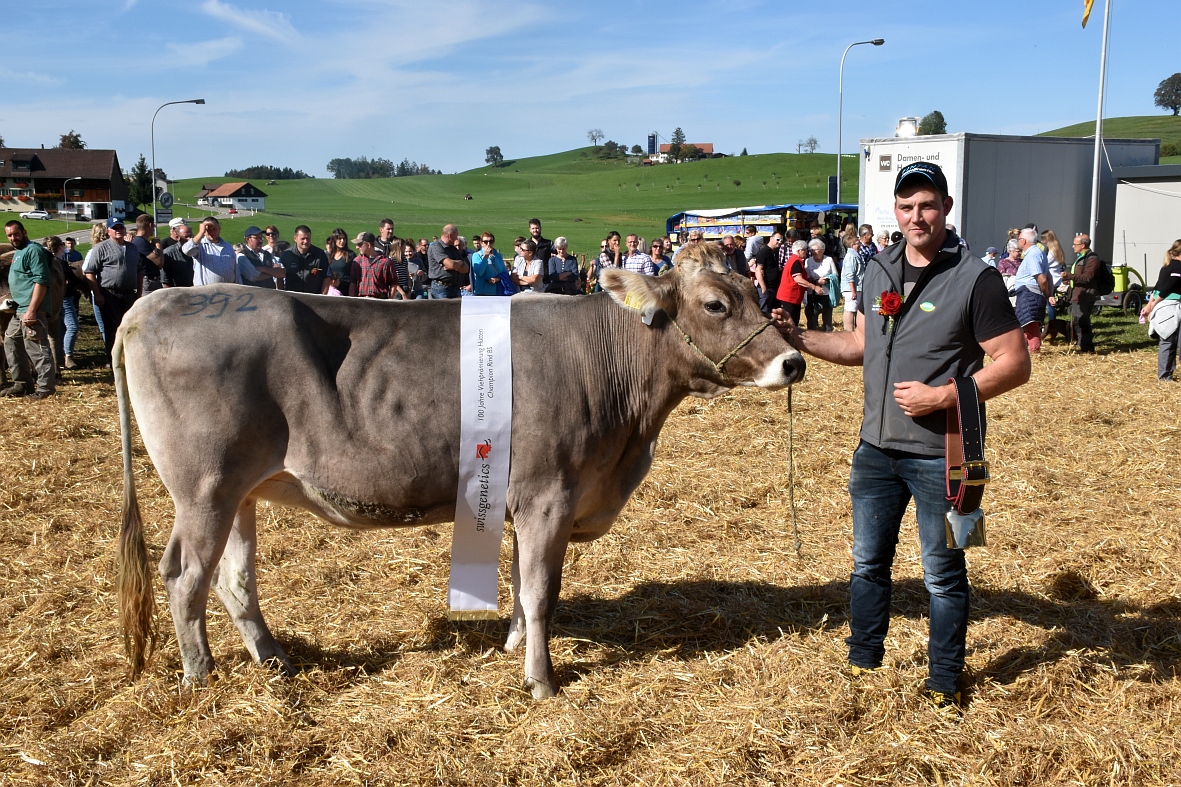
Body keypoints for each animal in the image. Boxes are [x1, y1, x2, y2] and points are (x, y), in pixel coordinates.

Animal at [117, 242, 803, 694]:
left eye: (756, 291)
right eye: (715, 305)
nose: (793, 361)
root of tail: (152, 303)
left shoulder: (522, 497)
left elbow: (523, 587)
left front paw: (513, 645)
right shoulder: (548, 493)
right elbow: (541, 589)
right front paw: (541, 680)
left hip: (242, 492)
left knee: (233, 579)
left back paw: (274, 660)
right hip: (203, 488)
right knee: (183, 575)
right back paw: (200, 677)